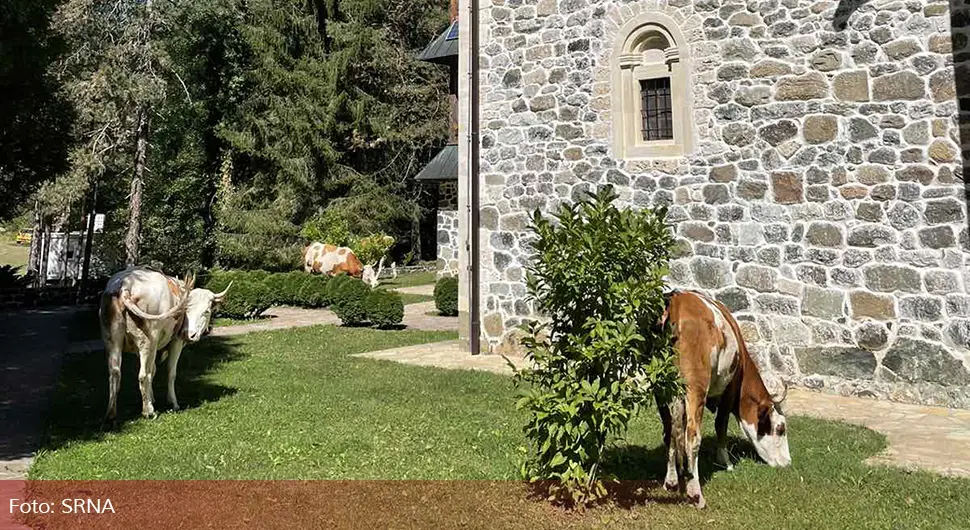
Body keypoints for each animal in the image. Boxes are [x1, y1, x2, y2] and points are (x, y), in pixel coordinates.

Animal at [99, 266, 231, 418]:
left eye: (206, 311)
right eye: (186, 308)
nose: (189, 334)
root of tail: (125, 286)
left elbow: (153, 370)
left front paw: (151, 399)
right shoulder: (176, 341)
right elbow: (170, 372)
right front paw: (172, 402)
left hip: (112, 339)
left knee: (115, 373)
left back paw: (111, 413)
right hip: (147, 341)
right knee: (143, 375)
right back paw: (148, 411)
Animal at [656, 288, 792, 508]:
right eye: (780, 429)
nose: (788, 462)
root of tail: (678, 302)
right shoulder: (731, 387)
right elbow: (721, 424)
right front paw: (725, 461)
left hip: (662, 387)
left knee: (670, 430)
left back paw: (671, 481)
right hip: (696, 386)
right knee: (692, 435)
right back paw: (696, 494)